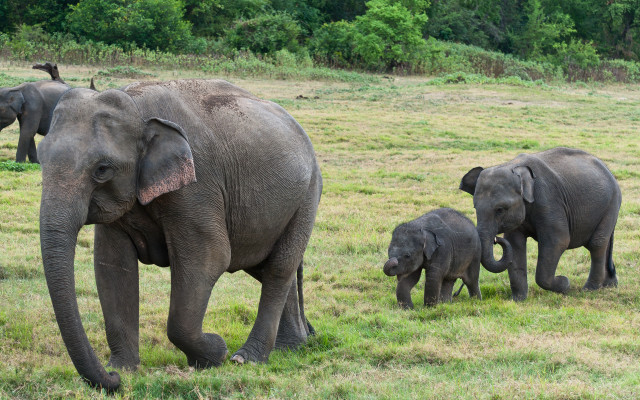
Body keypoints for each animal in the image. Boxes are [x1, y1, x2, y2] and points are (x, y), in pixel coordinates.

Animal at [37, 79, 322, 391]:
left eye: (102, 169)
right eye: (40, 159)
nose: (112, 379)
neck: (135, 106)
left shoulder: (198, 186)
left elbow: (210, 258)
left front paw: (215, 353)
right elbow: (112, 267)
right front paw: (125, 369)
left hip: (308, 194)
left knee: (278, 268)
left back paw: (247, 359)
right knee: (268, 267)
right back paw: (292, 346)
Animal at [459, 147, 620, 301]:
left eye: (500, 210)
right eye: (475, 208)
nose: (496, 239)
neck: (513, 167)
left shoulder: (548, 199)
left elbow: (558, 241)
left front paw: (564, 284)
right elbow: (515, 244)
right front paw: (517, 300)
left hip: (612, 204)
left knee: (596, 243)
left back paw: (589, 289)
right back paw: (609, 285)